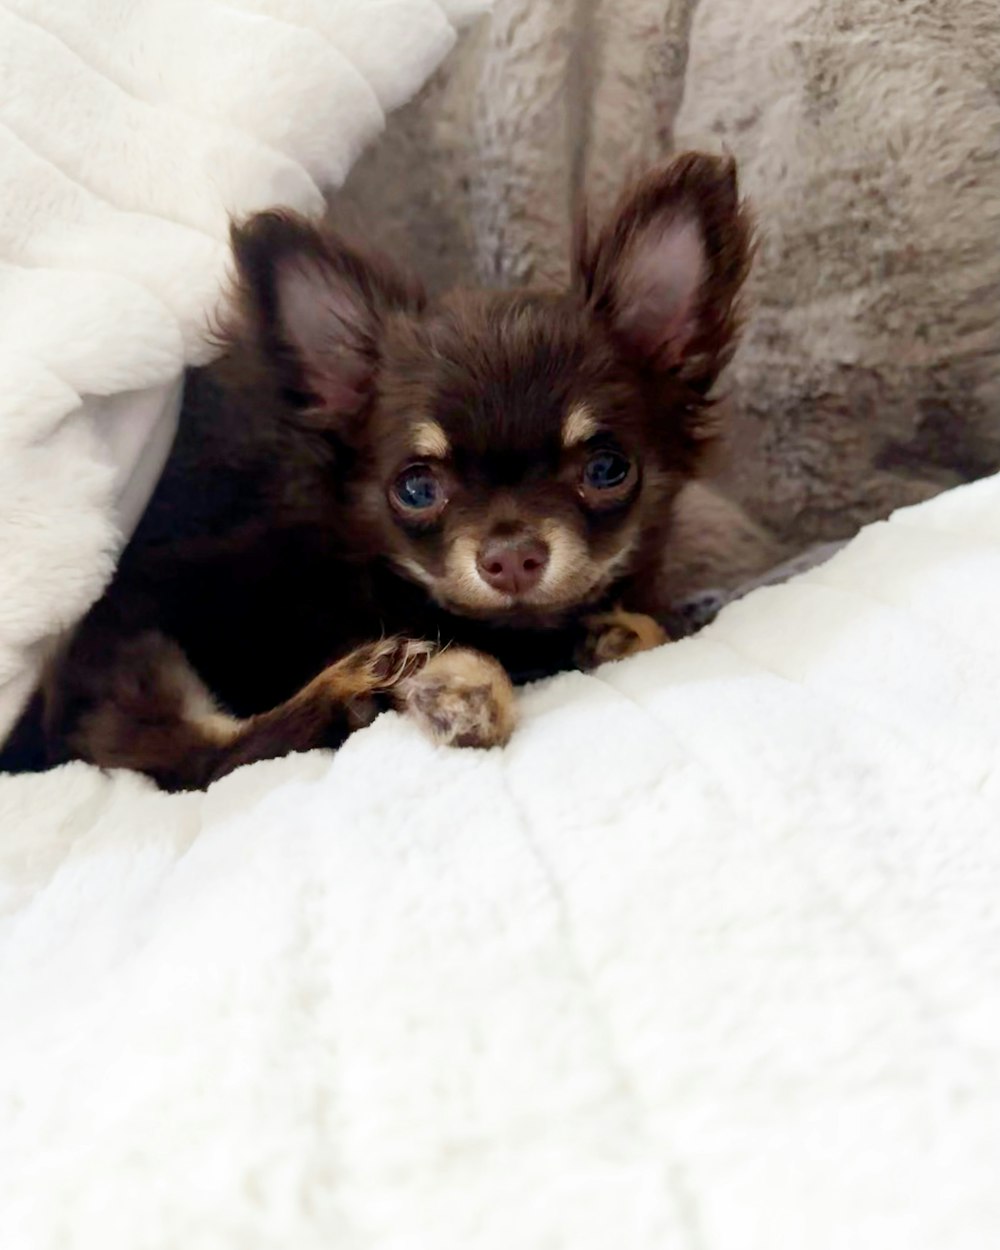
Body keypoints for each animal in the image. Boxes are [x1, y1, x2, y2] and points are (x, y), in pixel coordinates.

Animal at [1, 153, 760, 790]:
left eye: (607, 468)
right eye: (417, 487)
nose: (511, 557)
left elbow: (644, 626)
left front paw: (617, 630)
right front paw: (466, 684)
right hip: (149, 651)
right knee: (205, 757)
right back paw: (357, 686)